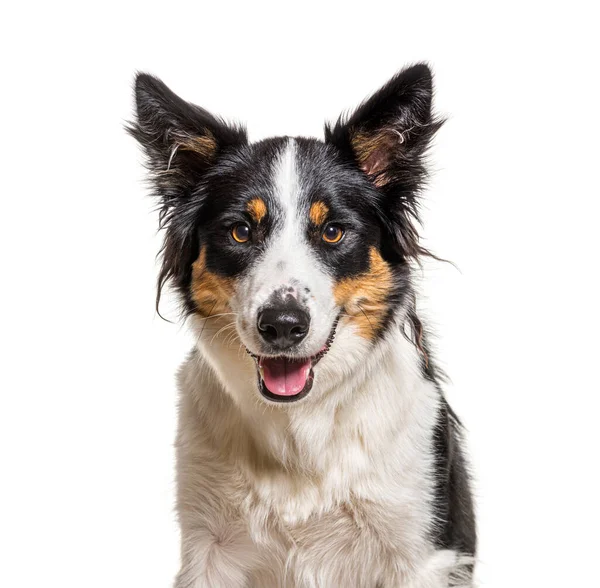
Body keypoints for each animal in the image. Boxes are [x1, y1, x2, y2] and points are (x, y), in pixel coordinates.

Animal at [129, 62, 476, 584]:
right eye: (240, 231)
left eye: (332, 231)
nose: (282, 325)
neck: (299, 426)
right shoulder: (207, 547)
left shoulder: (421, 552)